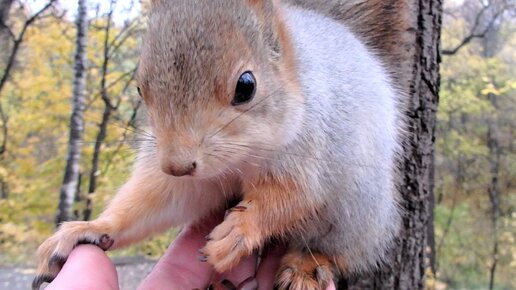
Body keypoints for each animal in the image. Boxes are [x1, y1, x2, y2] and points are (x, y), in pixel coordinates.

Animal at [34, 0, 410, 288]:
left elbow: (292, 197)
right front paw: (92, 228)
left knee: (344, 251)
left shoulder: (313, 149)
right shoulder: (183, 179)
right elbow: (157, 198)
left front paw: (240, 230)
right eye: (140, 88)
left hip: (357, 210)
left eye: (246, 86)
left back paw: (307, 264)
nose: (177, 166)